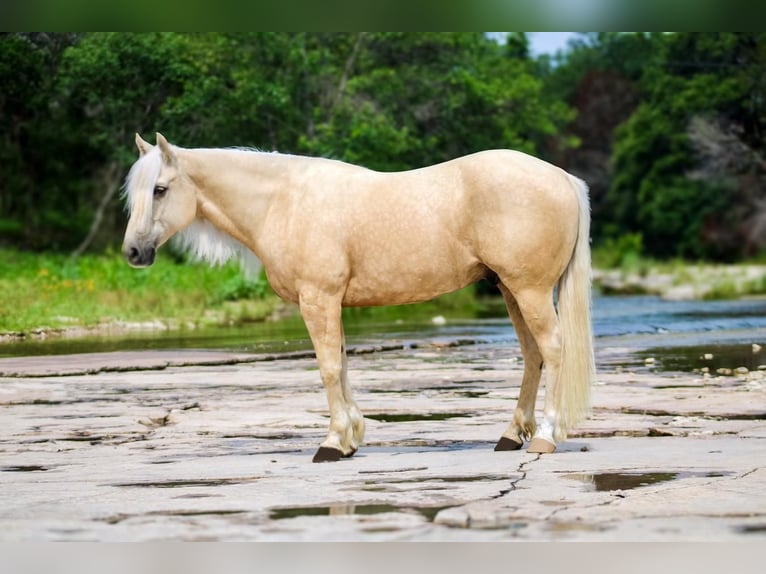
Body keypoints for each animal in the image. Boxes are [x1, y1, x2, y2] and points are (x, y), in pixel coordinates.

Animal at [123, 134, 596, 464]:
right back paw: (511, 435)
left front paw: (332, 443)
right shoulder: (330, 304)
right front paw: (350, 439)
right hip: (511, 289)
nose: (133, 252)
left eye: (160, 188)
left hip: (531, 290)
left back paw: (545, 437)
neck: (283, 201)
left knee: (553, 349)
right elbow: (343, 365)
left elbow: (329, 369)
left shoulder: (318, 299)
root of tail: (562, 177)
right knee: (533, 355)